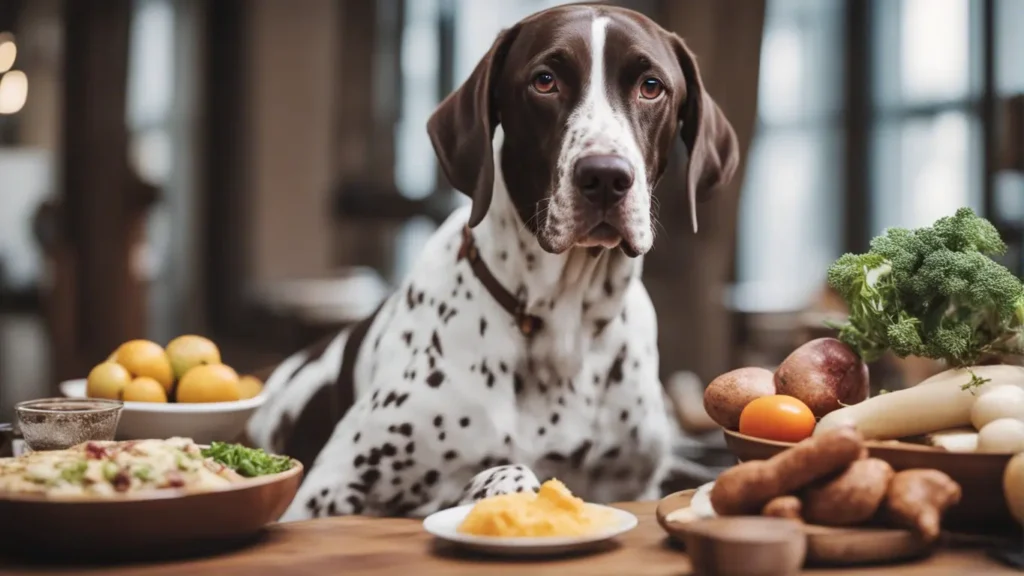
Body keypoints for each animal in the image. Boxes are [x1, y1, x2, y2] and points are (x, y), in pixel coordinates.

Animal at [243, 1, 741, 520]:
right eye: (545, 81)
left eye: (651, 86)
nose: (605, 176)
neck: (562, 327)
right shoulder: (323, 494)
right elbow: (498, 473)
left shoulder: (636, 481)